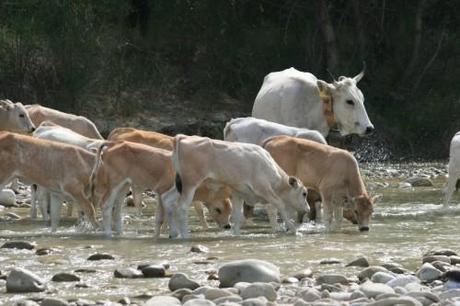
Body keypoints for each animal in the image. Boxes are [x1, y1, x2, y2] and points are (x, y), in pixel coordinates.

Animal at [90, 141, 234, 237]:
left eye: (230, 209)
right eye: (218, 209)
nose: (227, 226)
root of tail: (111, 146)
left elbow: (164, 217)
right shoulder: (162, 192)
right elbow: (161, 217)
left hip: (124, 185)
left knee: (117, 209)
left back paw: (121, 234)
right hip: (115, 183)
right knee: (106, 205)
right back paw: (109, 234)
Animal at [165, 134, 310, 239]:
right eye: (304, 193)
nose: (308, 208)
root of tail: (182, 137)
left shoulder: (238, 193)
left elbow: (237, 216)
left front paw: (236, 234)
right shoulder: (264, 189)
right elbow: (280, 205)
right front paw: (294, 230)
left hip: (179, 186)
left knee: (168, 200)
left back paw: (173, 233)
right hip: (191, 184)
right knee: (182, 208)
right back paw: (185, 236)